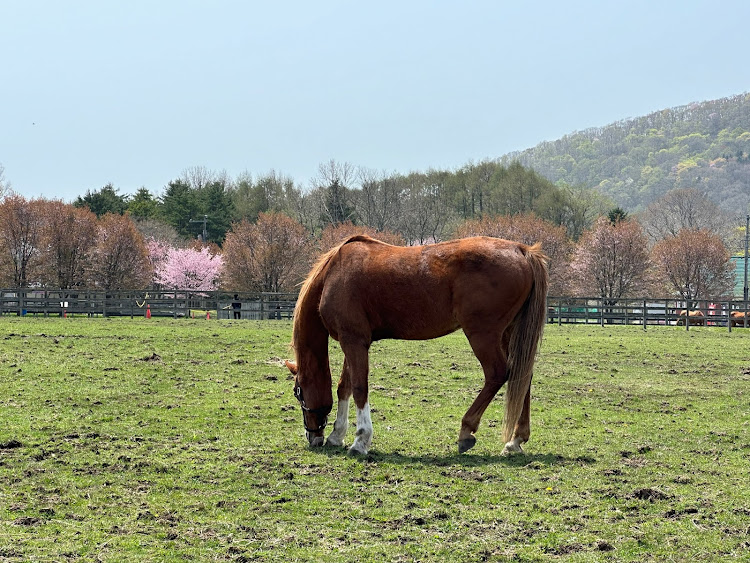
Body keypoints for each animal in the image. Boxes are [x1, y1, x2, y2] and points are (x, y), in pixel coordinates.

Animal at [284, 236, 548, 456]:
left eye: (298, 392)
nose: (313, 437)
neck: (333, 275)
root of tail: (521, 250)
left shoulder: (354, 341)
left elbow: (359, 388)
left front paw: (360, 440)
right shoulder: (354, 342)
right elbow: (344, 388)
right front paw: (337, 435)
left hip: (483, 335)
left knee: (497, 374)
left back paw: (466, 431)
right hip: (510, 335)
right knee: (521, 376)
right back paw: (515, 441)